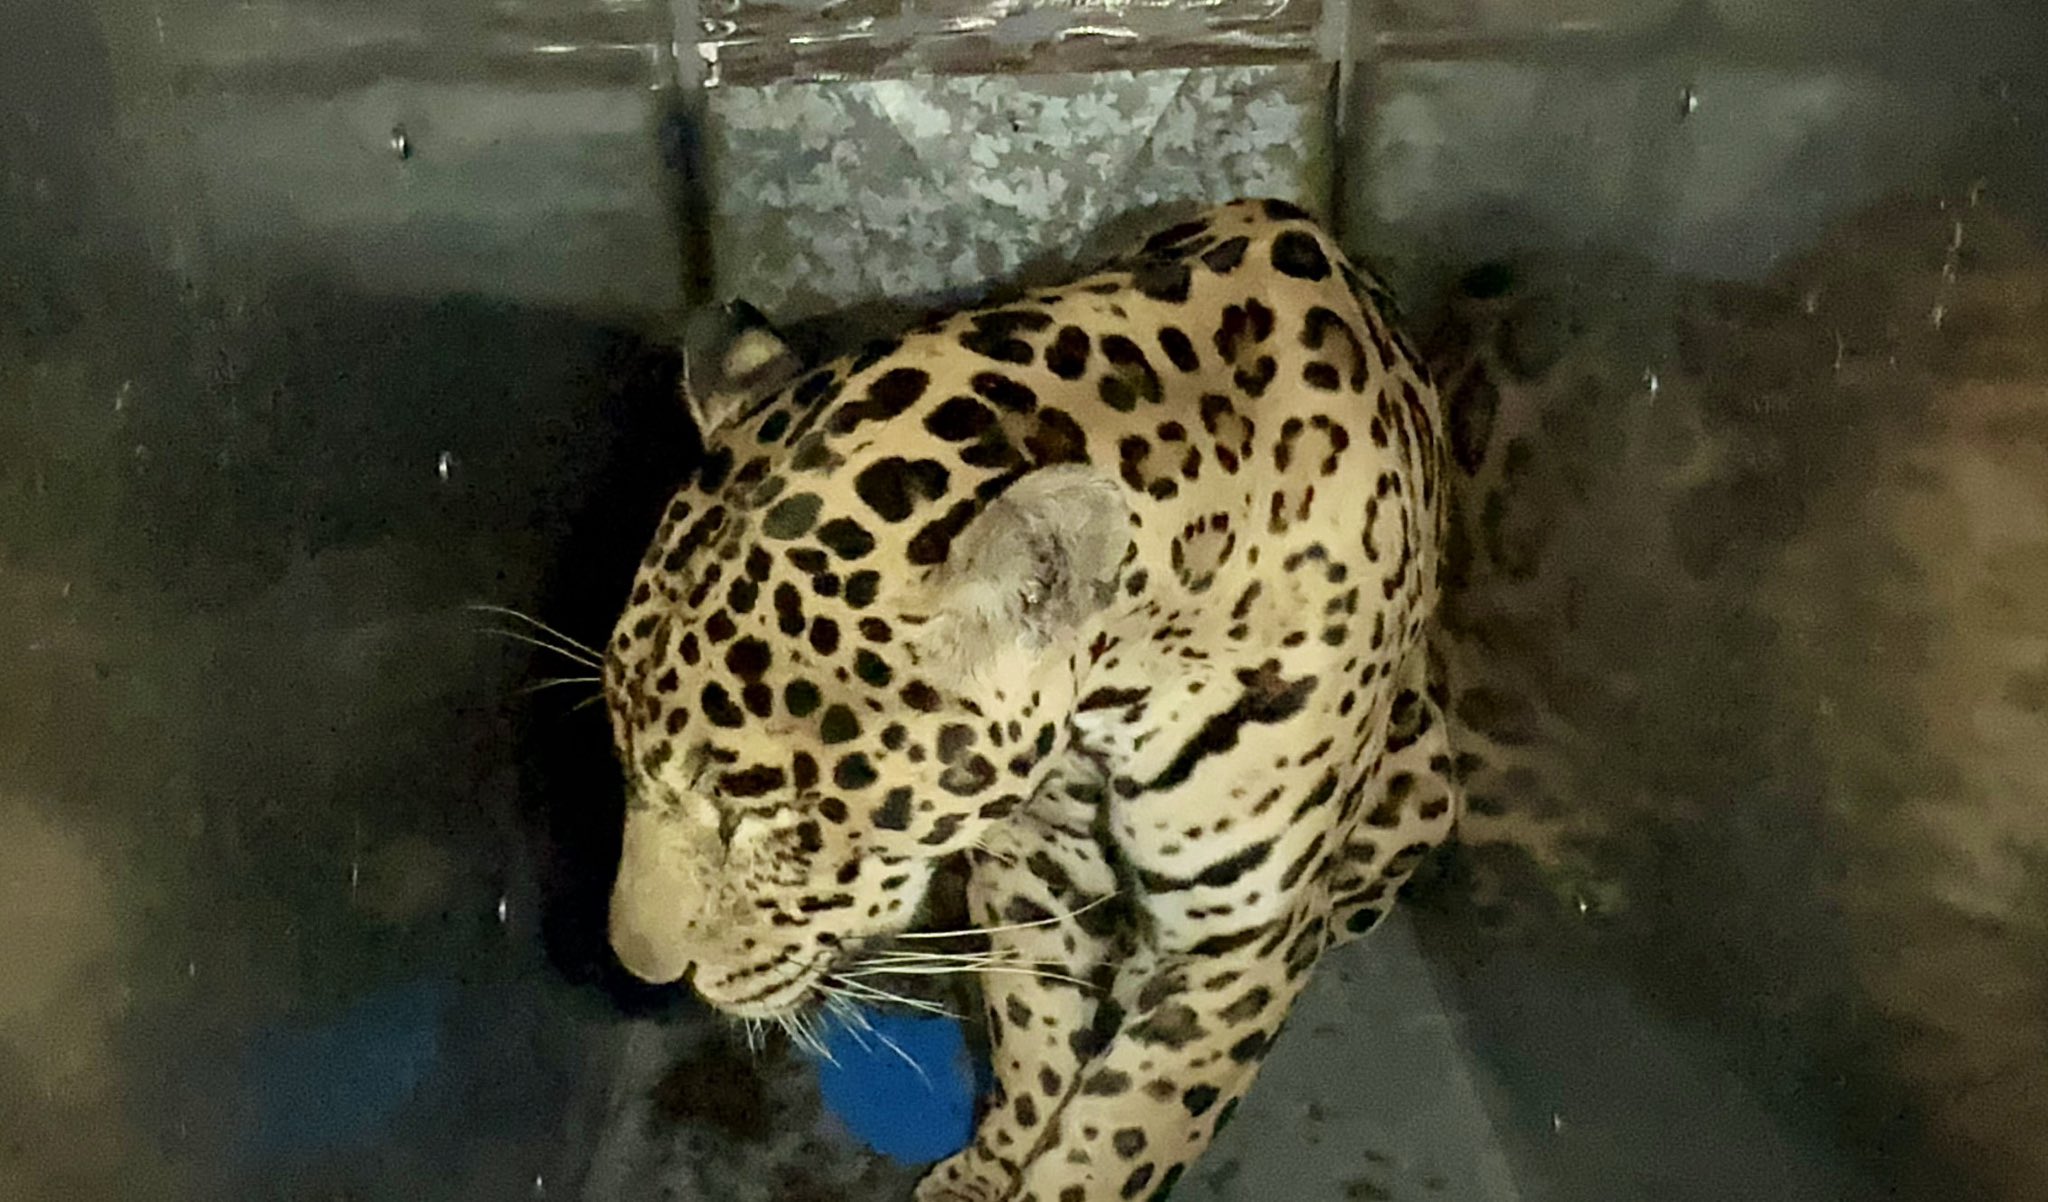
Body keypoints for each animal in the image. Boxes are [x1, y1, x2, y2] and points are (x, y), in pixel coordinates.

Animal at [599, 198, 1458, 1202]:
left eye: (762, 814)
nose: (640, 969)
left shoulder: (1237, 940)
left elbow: (1122, 1133)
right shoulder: (1031, 863)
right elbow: (1033, 1045)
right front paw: (989, 1169)